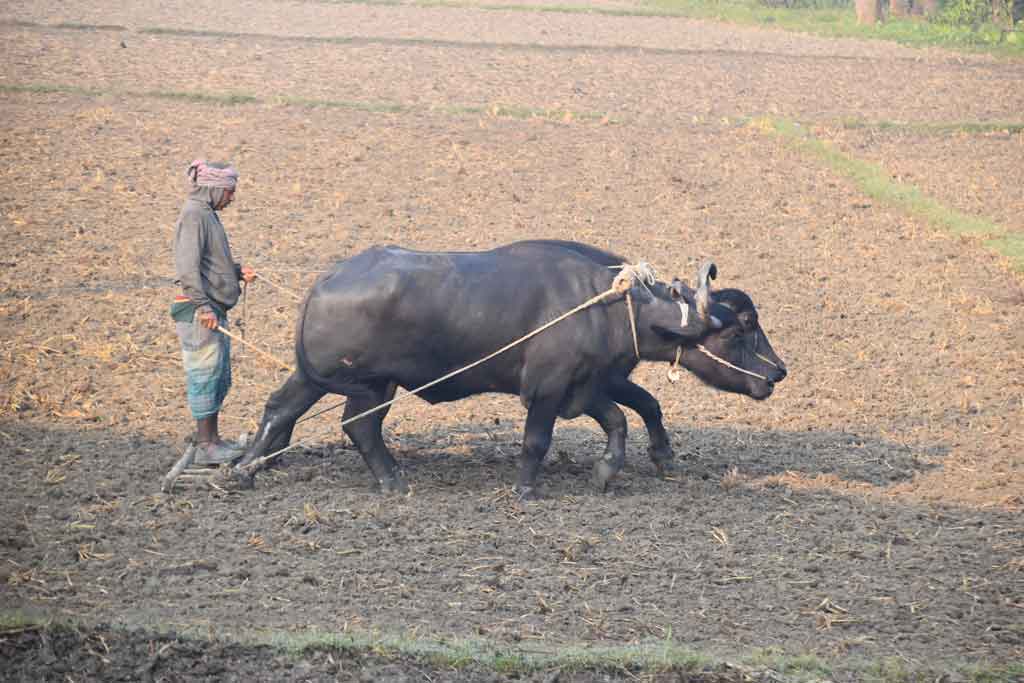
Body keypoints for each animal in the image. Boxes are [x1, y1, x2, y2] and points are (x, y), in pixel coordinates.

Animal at [235, 240, 786, 497]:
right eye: (741, 329)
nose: (777, 373)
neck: (609, 307)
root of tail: (327, 279)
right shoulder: (547, 389)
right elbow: (538, 439)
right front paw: (527, 487)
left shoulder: (588, 385)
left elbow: (629, 413)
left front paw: (621, 467)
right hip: (371, 384)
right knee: (359, 426)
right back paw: (392, 480)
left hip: (324, 378)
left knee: (281, 408)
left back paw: (248, 468)